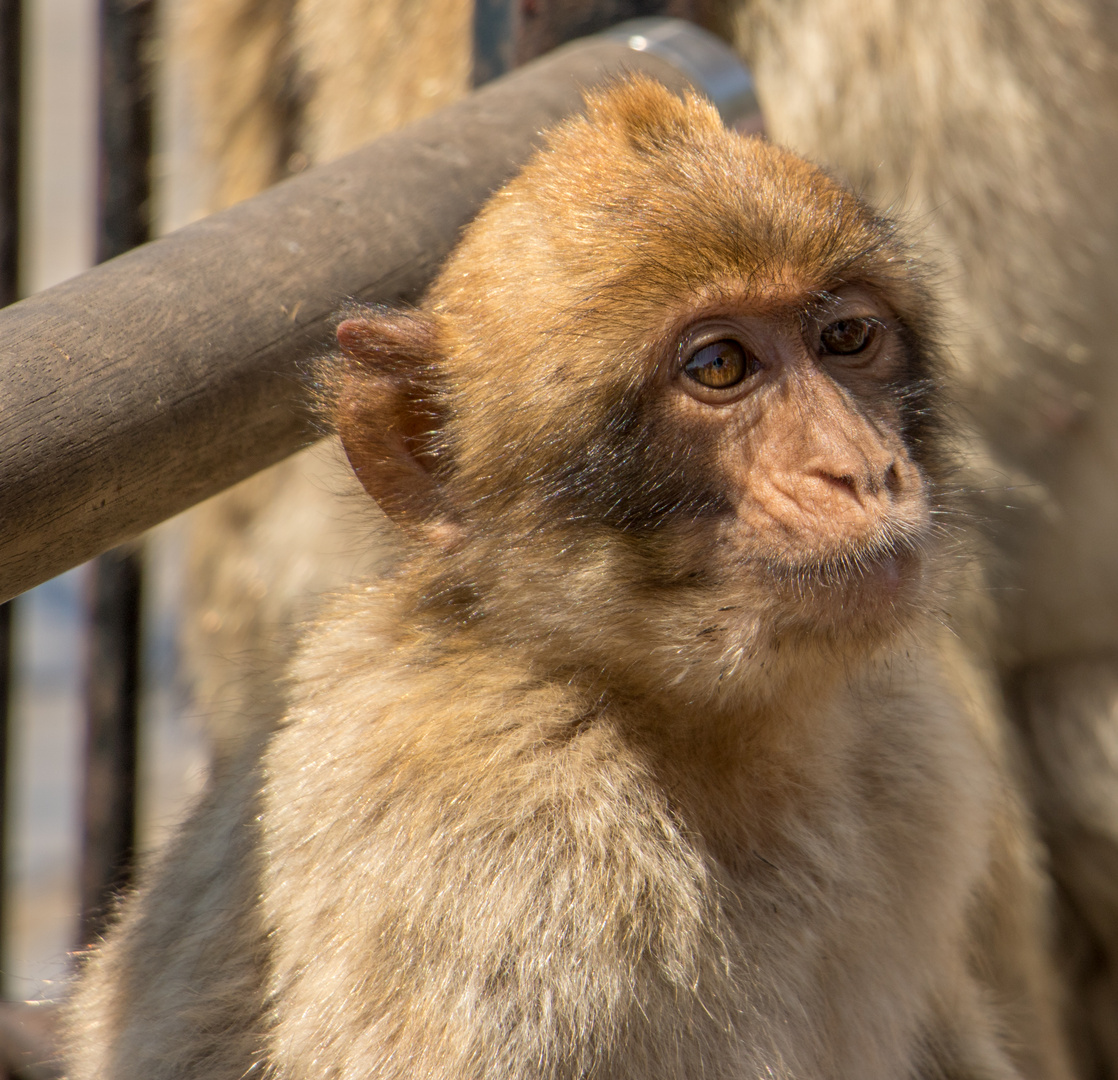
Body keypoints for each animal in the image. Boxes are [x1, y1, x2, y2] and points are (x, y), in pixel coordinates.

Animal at [65, 78, 1068, 1080]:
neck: (694, 730)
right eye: (720, 366)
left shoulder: (913, 756)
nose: (861, 470)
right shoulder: (500, 869)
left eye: (848, 337)